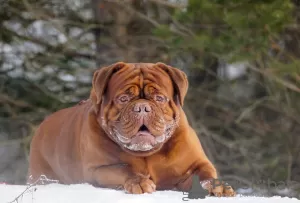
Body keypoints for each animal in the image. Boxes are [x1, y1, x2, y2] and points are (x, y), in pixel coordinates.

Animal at [28, 62, 234, 197]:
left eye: (159, 98)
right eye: (123, 99)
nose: (142, 107)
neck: (148, 154)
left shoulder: (196, 164)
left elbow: (204, 174)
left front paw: (219, 186)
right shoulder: (98, 169)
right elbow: (123, 169)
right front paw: (140, 181)